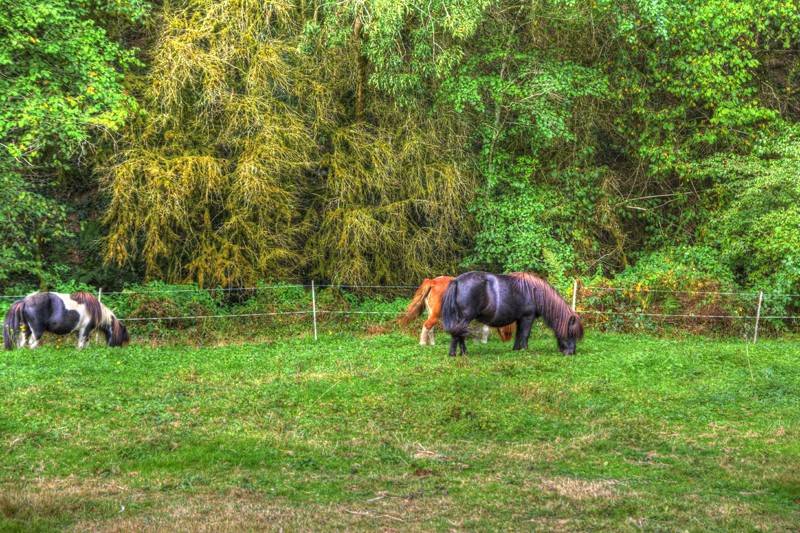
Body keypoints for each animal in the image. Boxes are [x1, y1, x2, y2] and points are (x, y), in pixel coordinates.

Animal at [440, 272, 584, 356]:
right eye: (571, 333)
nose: (571, 352)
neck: (534, 292)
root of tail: (457, 281)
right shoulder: (527, 317)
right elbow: (525, 335)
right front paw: (525, 351)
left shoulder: (520, 318)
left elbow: (518, 335)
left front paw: (516, 350)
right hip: (465, 318)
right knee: (457, 335)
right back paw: (453, 354)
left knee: (459, 335)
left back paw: (464, 353)